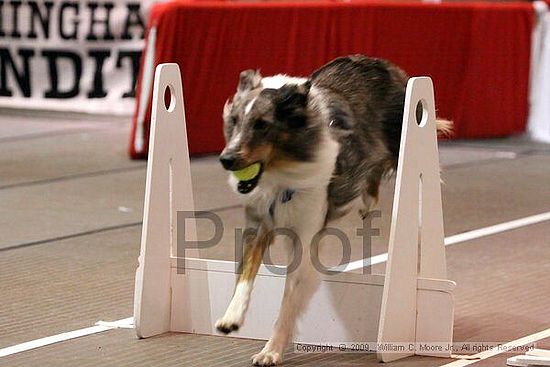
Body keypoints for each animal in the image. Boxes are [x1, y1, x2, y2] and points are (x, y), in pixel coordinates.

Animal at [216, 54, 452, 366]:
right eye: (234, 121)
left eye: (262, 124)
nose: (226, 159)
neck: (281, 173)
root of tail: (382, 63)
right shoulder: (261, 223)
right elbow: (245, 274)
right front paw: (230, 318)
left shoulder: (306, 234)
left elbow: (289, 297)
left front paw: (271, 350)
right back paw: (367, 200)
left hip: (402, 139)